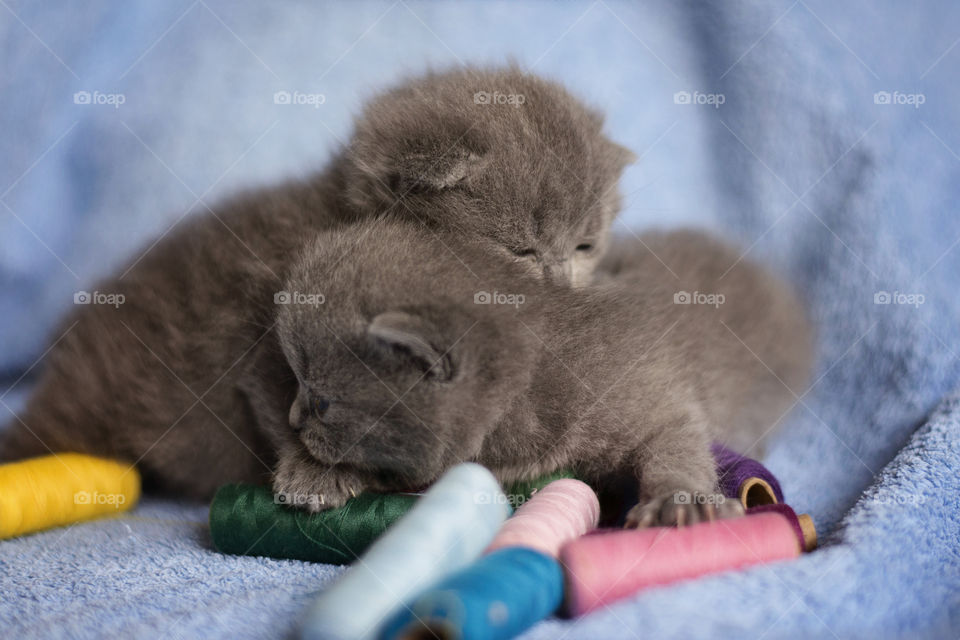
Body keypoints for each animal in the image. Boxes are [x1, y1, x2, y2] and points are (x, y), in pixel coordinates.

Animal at [242, 222, 808, 528]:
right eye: (297, 382)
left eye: (321, 403)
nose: (293, 419)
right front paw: (313, 470)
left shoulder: (650, 392)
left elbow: (676, 441)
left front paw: (676, 502)